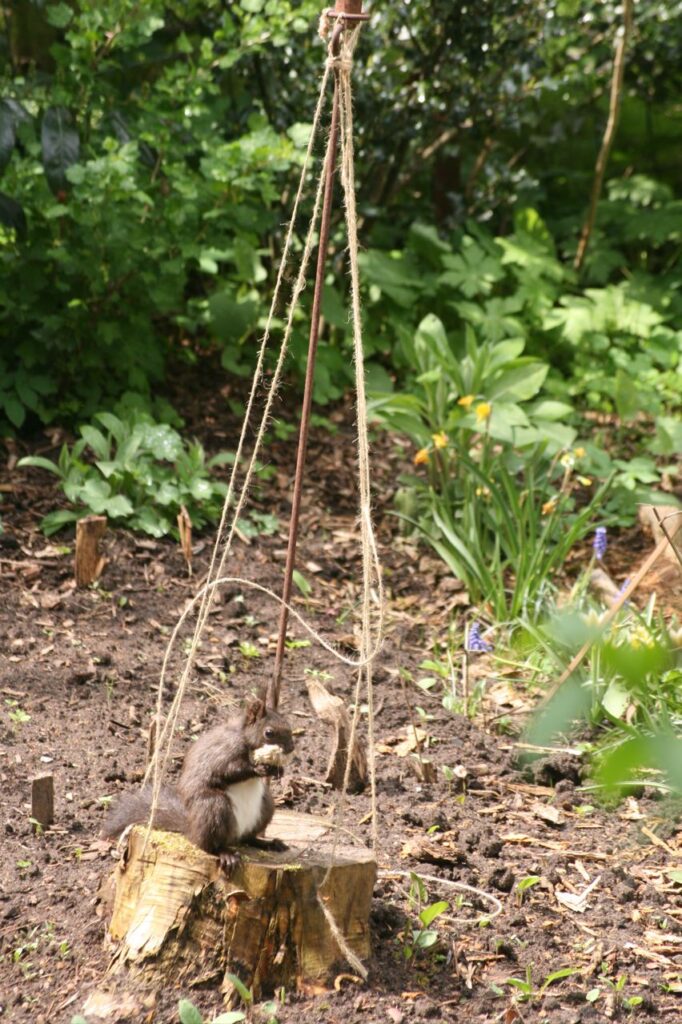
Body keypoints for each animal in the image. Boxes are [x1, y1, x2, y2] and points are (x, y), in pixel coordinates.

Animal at [103, 693, 294, 870]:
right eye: (269, 733)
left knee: (248, 838)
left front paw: (278, 770)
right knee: (207, 845)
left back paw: (267, 843)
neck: (244, 738)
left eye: (288, 725)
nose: (291, 748)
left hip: (266, 806)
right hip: (213, 807)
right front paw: (258, 768)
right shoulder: (223, 751)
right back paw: (225, 854)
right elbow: (228, 770)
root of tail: (191, 828)